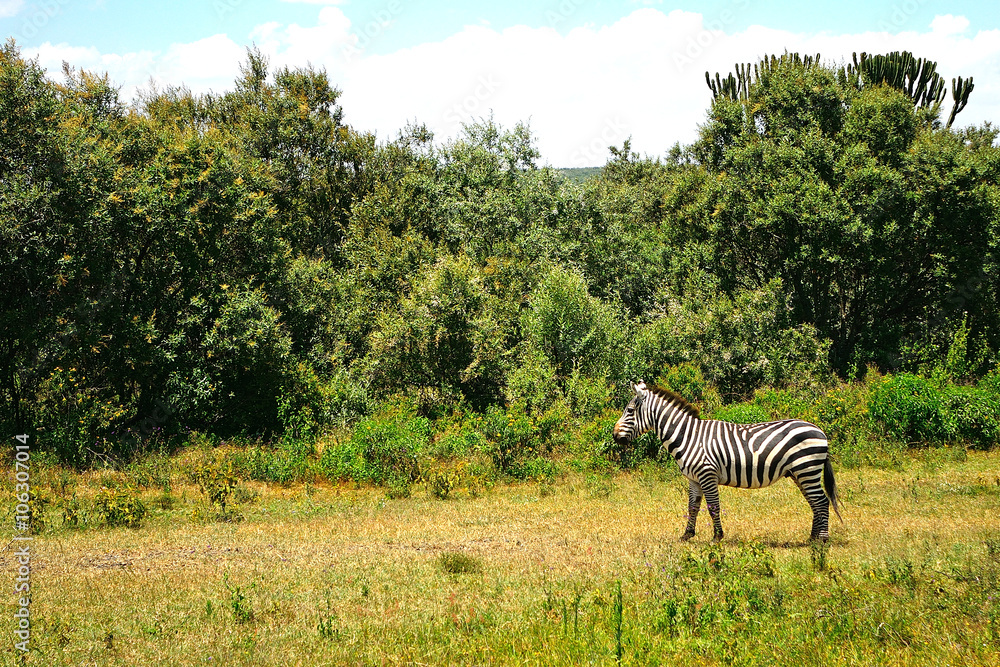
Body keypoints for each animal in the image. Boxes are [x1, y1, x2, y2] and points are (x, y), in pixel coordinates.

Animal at [612, 381, 842, 543]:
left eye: (629, 411)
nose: (614, 436)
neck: (689, 436)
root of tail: (820, 430)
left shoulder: (707, 474)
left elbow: (713, 506)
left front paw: (717, 537)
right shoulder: (693, 479)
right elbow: (693, 506)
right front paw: (687, 535)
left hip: (807, 468)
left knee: (821, 501)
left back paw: (822, 540)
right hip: (799, 473)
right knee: (814, 502)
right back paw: (812, 538)